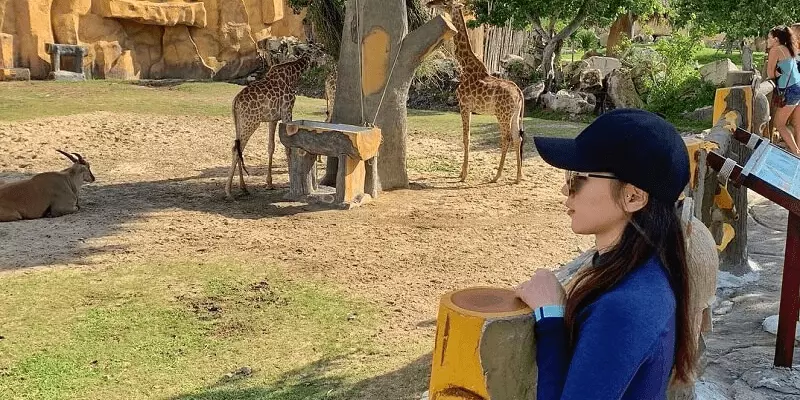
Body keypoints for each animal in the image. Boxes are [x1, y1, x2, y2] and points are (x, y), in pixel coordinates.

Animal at [223, 46, 320, 199]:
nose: (324, 61)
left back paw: (243, 187)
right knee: (236, 148)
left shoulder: (273, 119)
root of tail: (235, 102)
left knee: (238, 147)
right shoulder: (287, 111)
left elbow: (271, 146)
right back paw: (228, 191)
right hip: (251, 121)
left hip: (239, 122)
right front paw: (290, 180)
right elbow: (287, 146)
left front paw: (269, 183)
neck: (293, 76)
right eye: (321, 50)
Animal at [424, 0, 524, 183]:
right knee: (516, 137)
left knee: (506, 138)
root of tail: (519, 93)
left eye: (445, 2)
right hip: (514, 115)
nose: (429, 3)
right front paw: (461, 172)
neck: (465, 65)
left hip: (502, 114)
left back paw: (497, 176)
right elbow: (467, 137)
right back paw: (518, 177)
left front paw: (463, 175)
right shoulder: (469, 107)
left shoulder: (464, 104)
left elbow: (466, 137)